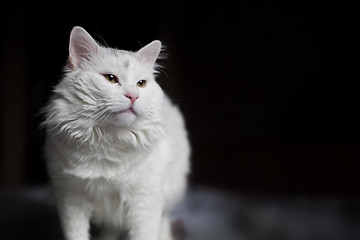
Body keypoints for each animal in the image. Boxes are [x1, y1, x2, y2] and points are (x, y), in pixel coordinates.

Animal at [43, 26, 190, 240]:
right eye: (110, 79)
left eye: (141, 83)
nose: (133, 96)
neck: (110, 139)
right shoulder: (70, 199)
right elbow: (76, 234)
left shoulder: (145, 201)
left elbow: (145, 234)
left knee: (164, 221)